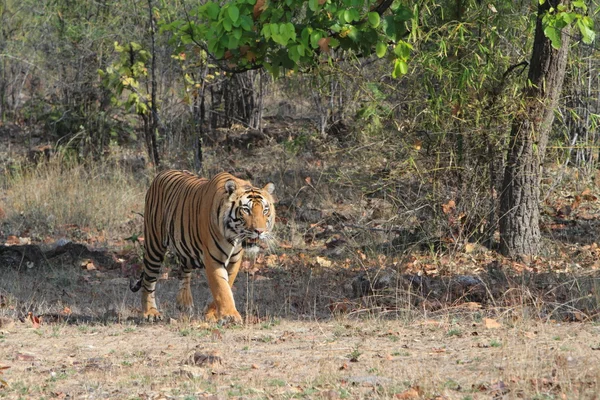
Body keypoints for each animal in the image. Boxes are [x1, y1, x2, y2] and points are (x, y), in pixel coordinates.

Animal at [130, 170, 276, 324]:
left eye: (265, 210)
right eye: (246, 210)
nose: (259, 231)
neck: (233, 236)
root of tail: (161, 174)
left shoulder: (234, 260)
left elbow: (227, 284)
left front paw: (211, 314)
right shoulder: (213, 259)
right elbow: (221, 287)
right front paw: (230, 315)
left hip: (186, 248)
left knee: (183, 270)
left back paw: (184, 303)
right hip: (154, 245)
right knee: (148, 281)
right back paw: (150, 313)